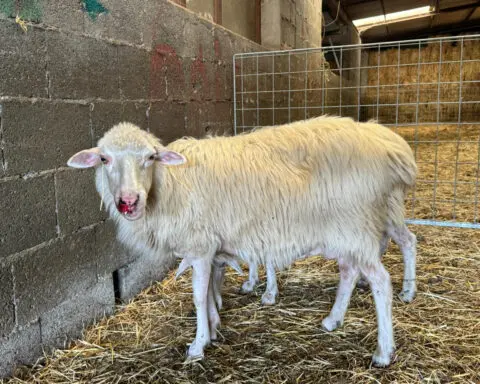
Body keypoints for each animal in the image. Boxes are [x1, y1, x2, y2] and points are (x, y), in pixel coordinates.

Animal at [66, 115, 416, 368]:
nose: (128, 201)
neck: (169, 185)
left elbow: (198, 296)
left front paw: (198, 345)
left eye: (151, 157)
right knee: (350, 270)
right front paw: (214, 327)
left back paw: (385, 349)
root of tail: (391, 146)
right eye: (104, 159)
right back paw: (333, 320)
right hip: (346, 229)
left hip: (357, 224)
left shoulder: (200, 245)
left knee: (382, 278)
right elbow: (210, 289)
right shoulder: (210, 247)